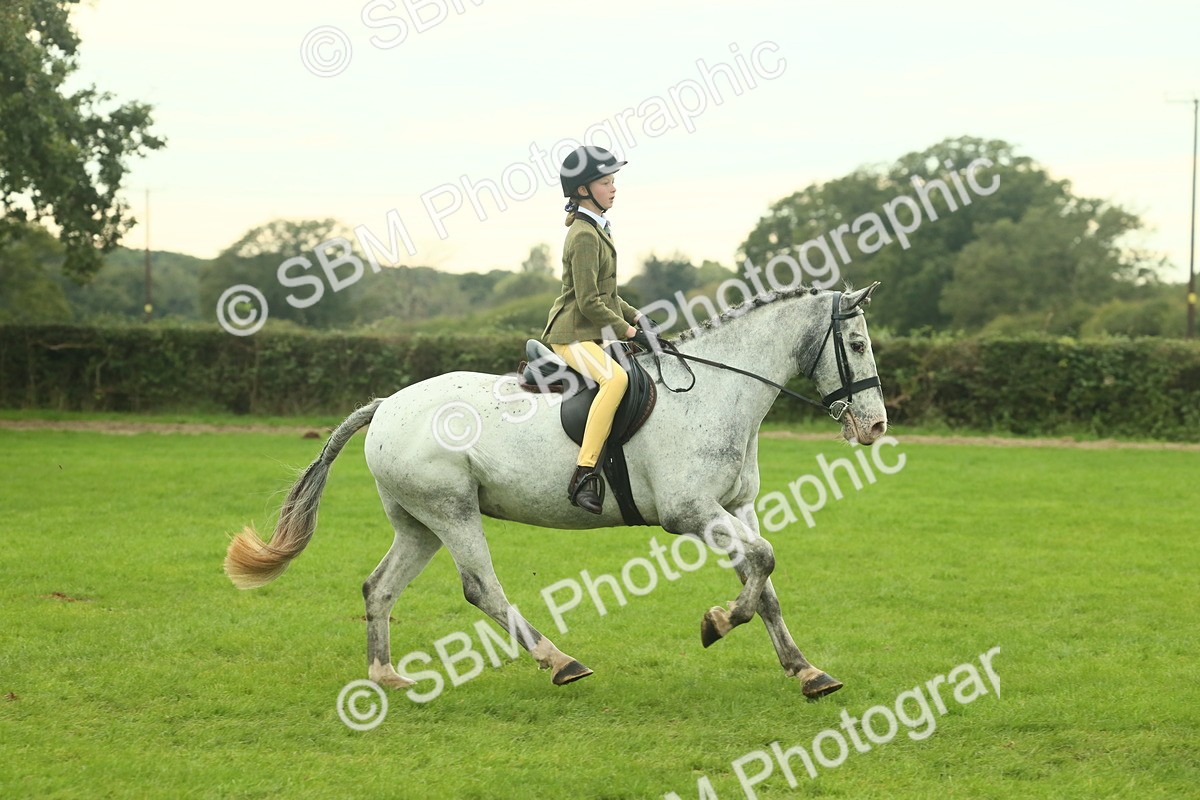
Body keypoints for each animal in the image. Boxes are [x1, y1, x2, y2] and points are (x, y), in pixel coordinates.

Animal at [224, 282, 887, 698]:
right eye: (856, 346)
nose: (876, 427)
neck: (716, 392)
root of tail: (386, 404)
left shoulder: (734, 508)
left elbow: (765, 578)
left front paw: (806, 671)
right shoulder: (691, 512)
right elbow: (763, 564)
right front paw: (718, 622)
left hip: (419, 522)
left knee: (379, 586)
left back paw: (386, 676)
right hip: (452, 510)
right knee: (481, 588)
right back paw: (560, 662)